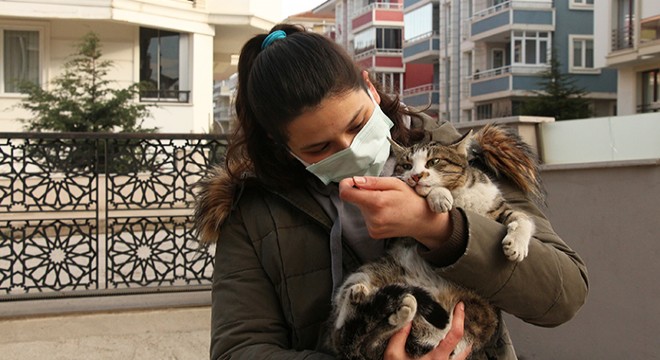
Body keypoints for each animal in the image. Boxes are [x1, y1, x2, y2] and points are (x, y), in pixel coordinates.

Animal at [330, 124, 540, 360]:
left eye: (434, 161)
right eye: (406, 165)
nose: (416, 176)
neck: (460, 195)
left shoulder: (498, 208)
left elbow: (522, 218)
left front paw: (516, 245)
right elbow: (433, 193)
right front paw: (440, 197)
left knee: (372, 338)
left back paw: (398, 311)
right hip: (368, 272)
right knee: (347, 327)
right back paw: (364, 298)